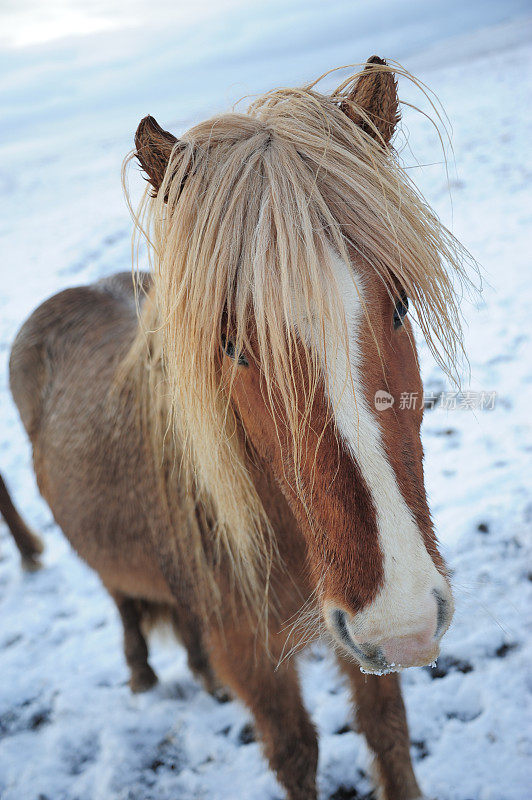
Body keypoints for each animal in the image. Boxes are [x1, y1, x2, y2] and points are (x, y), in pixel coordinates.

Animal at [10, 57, 472, 800]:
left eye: (401, 301)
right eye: (230, 345)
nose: (401, 619)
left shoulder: (351, 640)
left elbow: (387, 732)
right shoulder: (254, 655)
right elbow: (295, 753)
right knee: (122, 600)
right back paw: (143, 674)